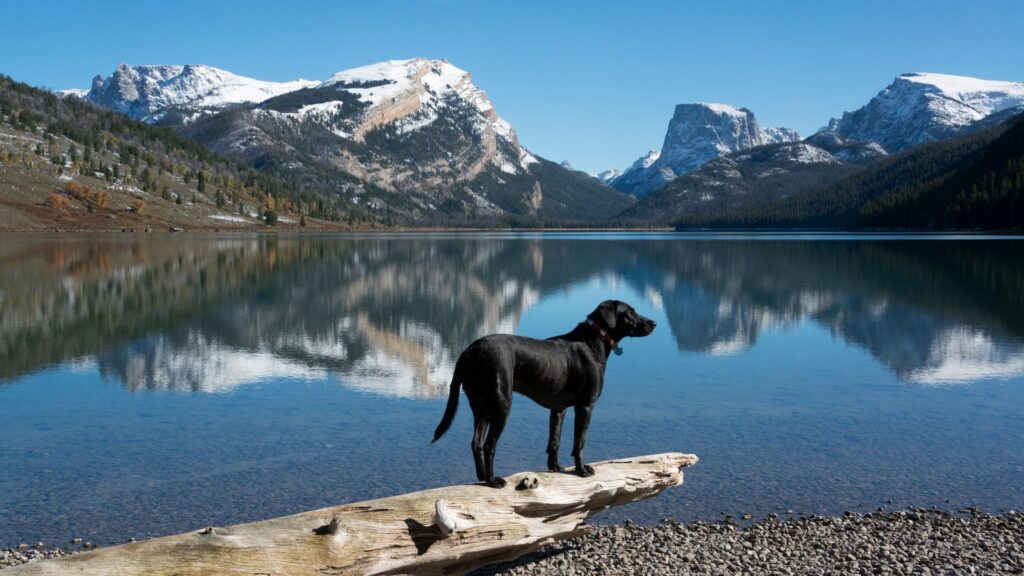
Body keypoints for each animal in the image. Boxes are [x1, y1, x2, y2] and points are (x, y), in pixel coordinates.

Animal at [432, 301, 655, 483]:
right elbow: (579, 443)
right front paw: (581, 470)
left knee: (476, 443)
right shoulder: (585, 407)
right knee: (489, 446)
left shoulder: (558, 409)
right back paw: (493, 480)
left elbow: (554, 442)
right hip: (501, 405)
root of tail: (469, 351)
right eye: (630, 312)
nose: (654, 323)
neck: (593, 340)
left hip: (481, 407)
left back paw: (481, 478)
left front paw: (555, 468)